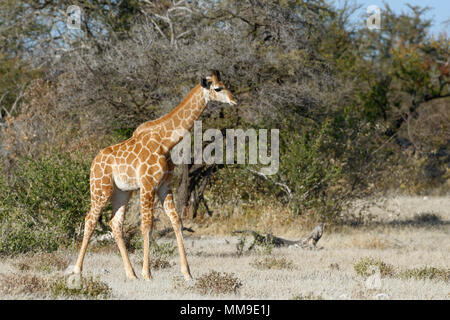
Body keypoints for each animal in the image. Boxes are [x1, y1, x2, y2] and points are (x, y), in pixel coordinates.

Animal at [73, 70, 236, 280]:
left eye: (226, 85)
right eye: (218, 88)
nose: (234, 100)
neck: (166, 142)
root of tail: (93, 162)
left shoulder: (164, 186)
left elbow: (176, 221)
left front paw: (187, 273)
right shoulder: (148, 184)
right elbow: (147, 225)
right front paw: (147, 273)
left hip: (122, 192)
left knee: (115, 223)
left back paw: (130, 274)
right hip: (101, 188)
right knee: (90, 219)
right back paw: (77, 270)